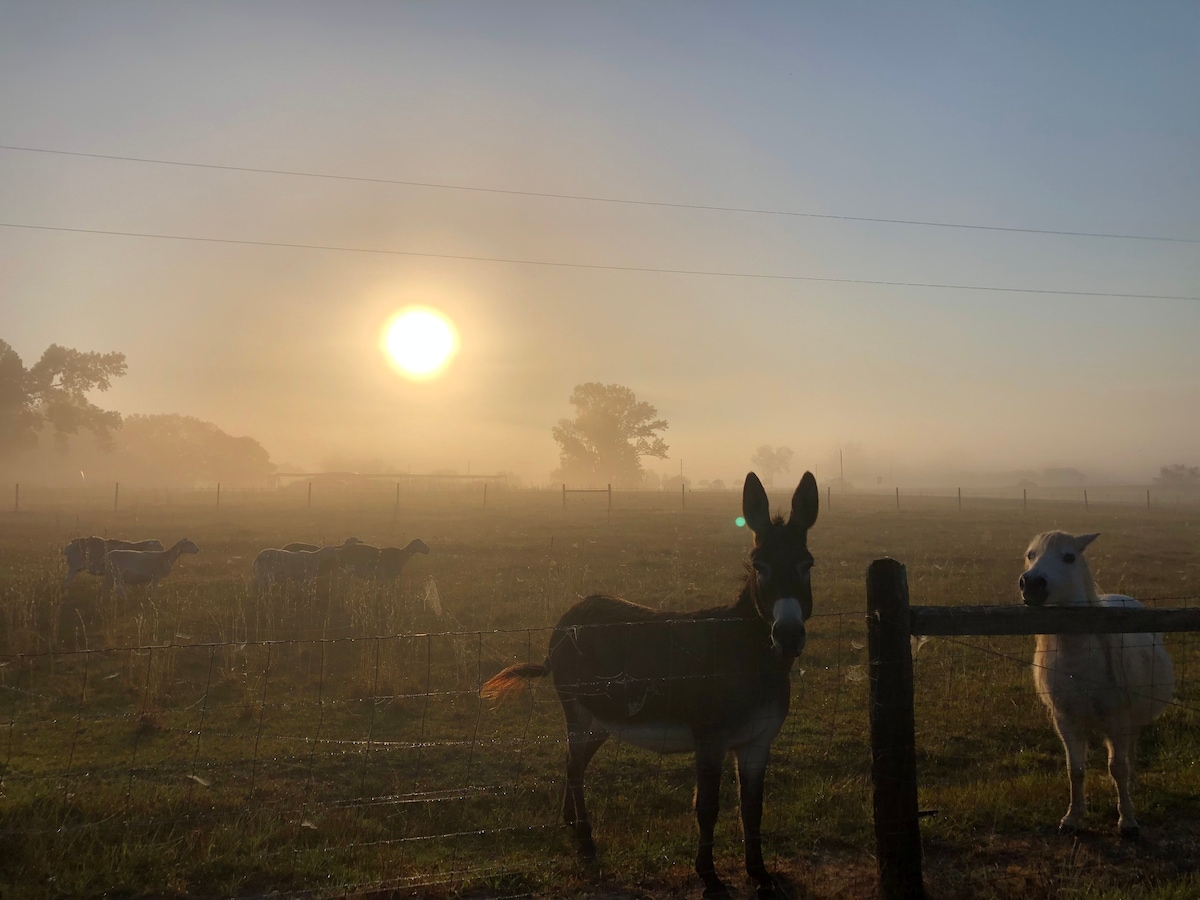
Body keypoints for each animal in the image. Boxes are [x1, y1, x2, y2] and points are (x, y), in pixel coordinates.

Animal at [1017, 528, 1176, 840]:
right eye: (1031, 554)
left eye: (1069, 557)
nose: (1031, 584)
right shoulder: (1066, 721)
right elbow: (1075, 770)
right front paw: (1072, 818)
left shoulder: (1117, 718)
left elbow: (1117, 768)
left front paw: (1127, 820)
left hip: (1131, 718)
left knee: (1129, 752)